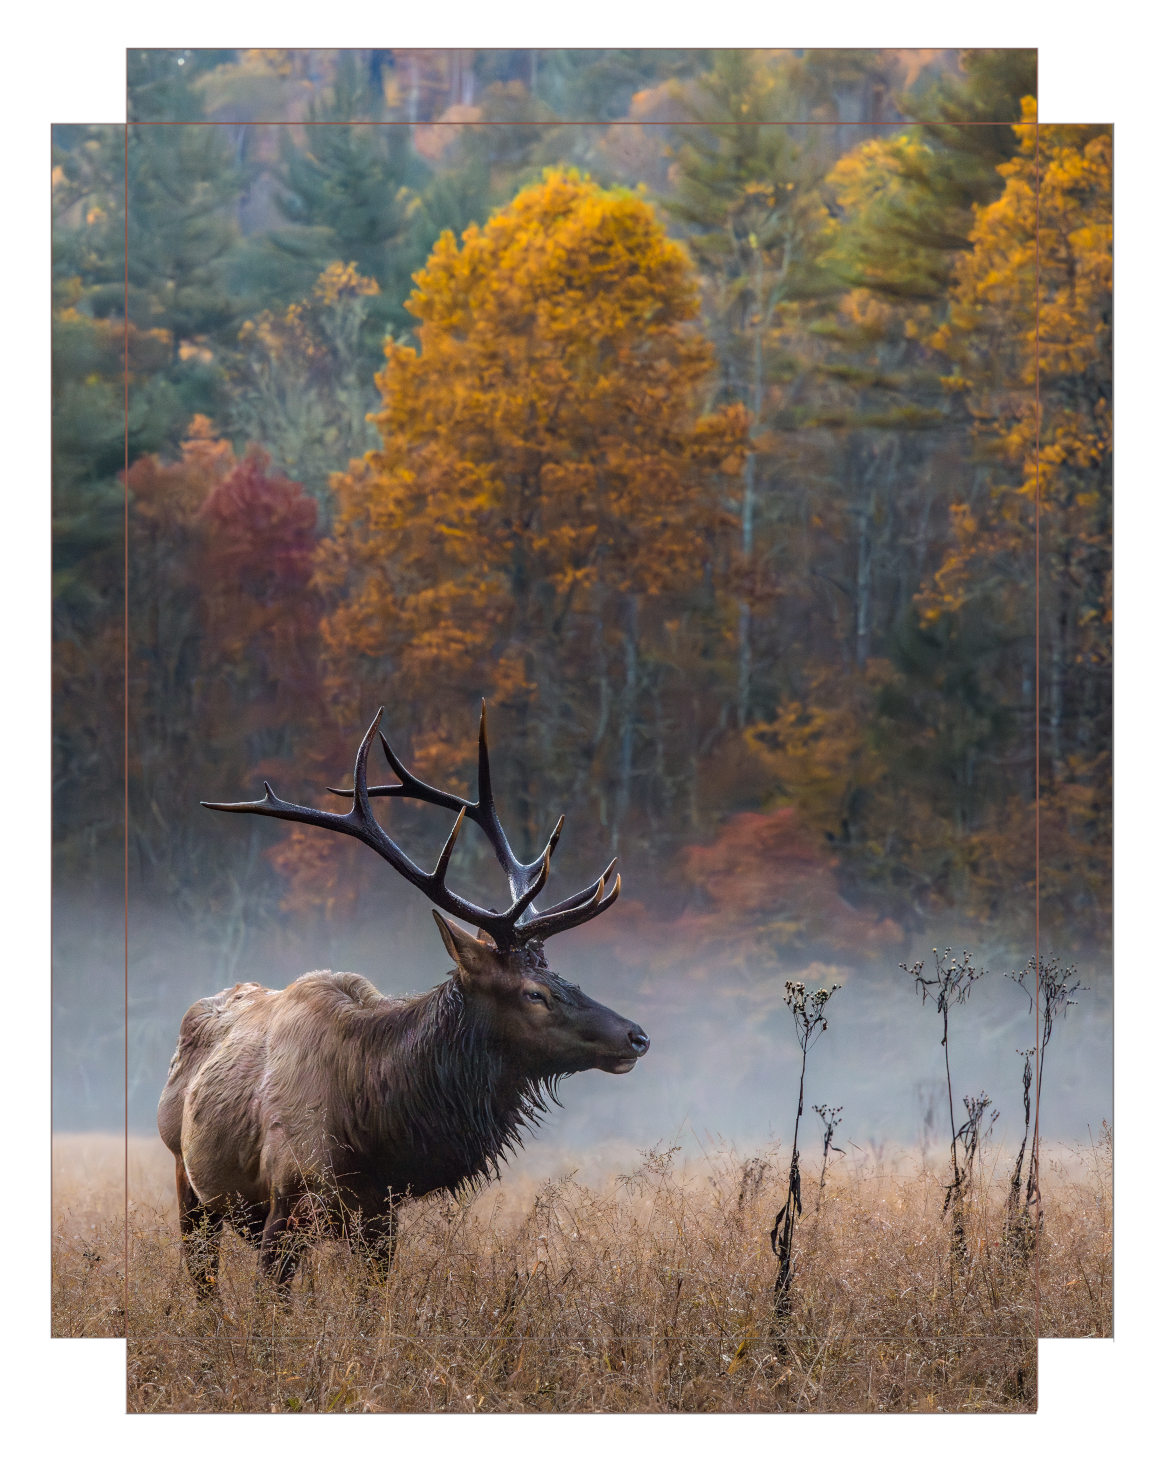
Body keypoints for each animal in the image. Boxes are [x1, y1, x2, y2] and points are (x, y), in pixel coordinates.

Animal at [155, 704, 648, 1292]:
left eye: (563, 976)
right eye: (535, 993)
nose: (636, 1036)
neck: (373, 1130)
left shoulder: (379, 1217)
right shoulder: (288, 1201)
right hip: (190, 1184)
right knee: (202, 1280)